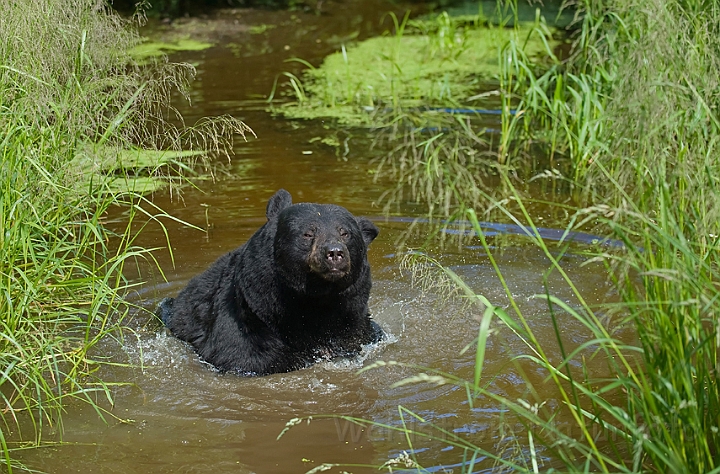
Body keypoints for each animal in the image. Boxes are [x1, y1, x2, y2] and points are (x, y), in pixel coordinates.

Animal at [158, 187, 382, 376]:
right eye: (308, 233)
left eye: (345, 233)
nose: (334, 252)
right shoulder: (248, 329)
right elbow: (245, 354)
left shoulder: (355, 327)